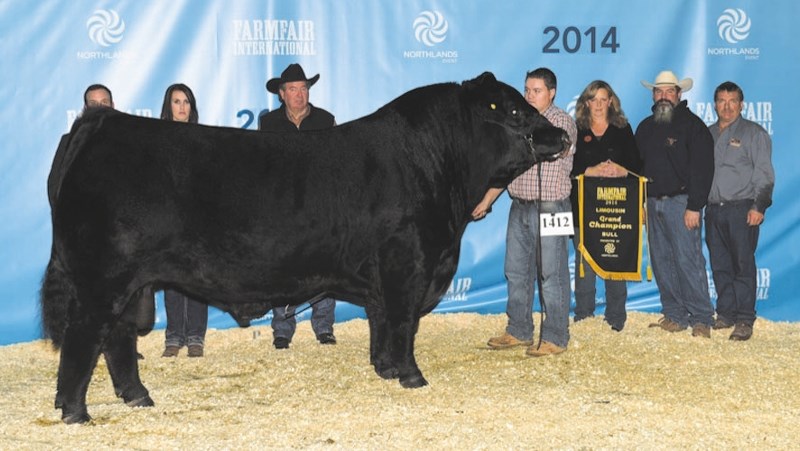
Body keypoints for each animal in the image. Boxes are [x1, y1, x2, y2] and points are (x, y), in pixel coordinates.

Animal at [42, 73, 568, 424]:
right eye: (515, 111)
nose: (561, 134)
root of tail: (101, 122)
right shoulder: (409, 264)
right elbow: (403, 322)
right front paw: (412, 376)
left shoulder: (385, 273)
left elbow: (382, 322)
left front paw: (384, 369)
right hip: (103, 277)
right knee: (87, 334)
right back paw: (75, 411)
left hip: (130, 283)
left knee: (118, 337)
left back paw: (136, 396)